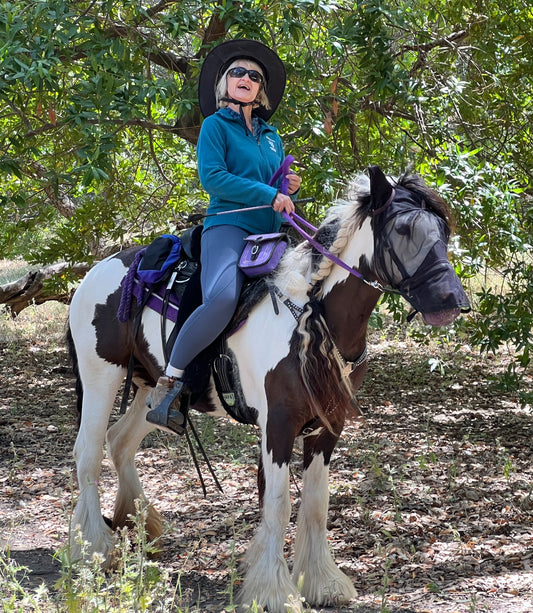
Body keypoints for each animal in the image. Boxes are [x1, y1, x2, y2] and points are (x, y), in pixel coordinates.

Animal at [67, 165, 470, 608]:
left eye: (443, 231)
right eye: (402, 229)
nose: (454, 301)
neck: (311, 319)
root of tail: (99, 270)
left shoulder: (327, 427)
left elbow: (315, 501)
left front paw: (320, 581)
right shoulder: (277, 425)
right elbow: (278, 502)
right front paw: (274, 592)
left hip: (149, 389)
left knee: (120, 442)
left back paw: (140, 524)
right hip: (101, 376)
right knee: (88, 452)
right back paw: (95, 548)